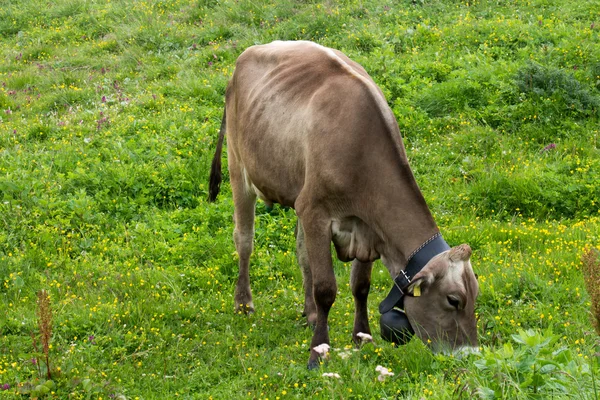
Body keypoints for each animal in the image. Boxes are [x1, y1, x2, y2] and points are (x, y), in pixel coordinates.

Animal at [209, 40, 480, 368]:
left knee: (302, 252)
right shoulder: (316, 212)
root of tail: (248, 53)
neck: (362, 153)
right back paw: (244, 303)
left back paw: (310, 313)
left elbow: (360, 286)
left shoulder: (366, 227)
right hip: (239, 168)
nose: (471, 355)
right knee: (244, 240)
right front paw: (318, 352)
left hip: (297, 190)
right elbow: (326, 288)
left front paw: (362, 337)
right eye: (454, 300)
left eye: (476, 296)